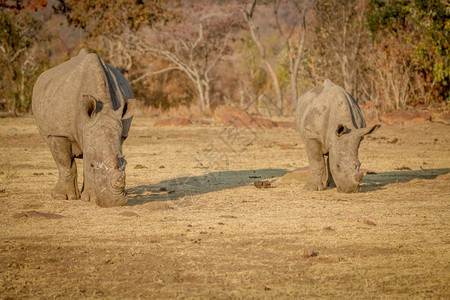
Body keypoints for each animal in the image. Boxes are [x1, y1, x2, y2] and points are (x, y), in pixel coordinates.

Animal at [32, 49, 135, 209]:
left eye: (125, 164)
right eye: (92, 165)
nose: (115, 202)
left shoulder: (120, 131)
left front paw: (90, 198)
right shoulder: (58, 133)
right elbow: (65, 164)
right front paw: (62, 197)